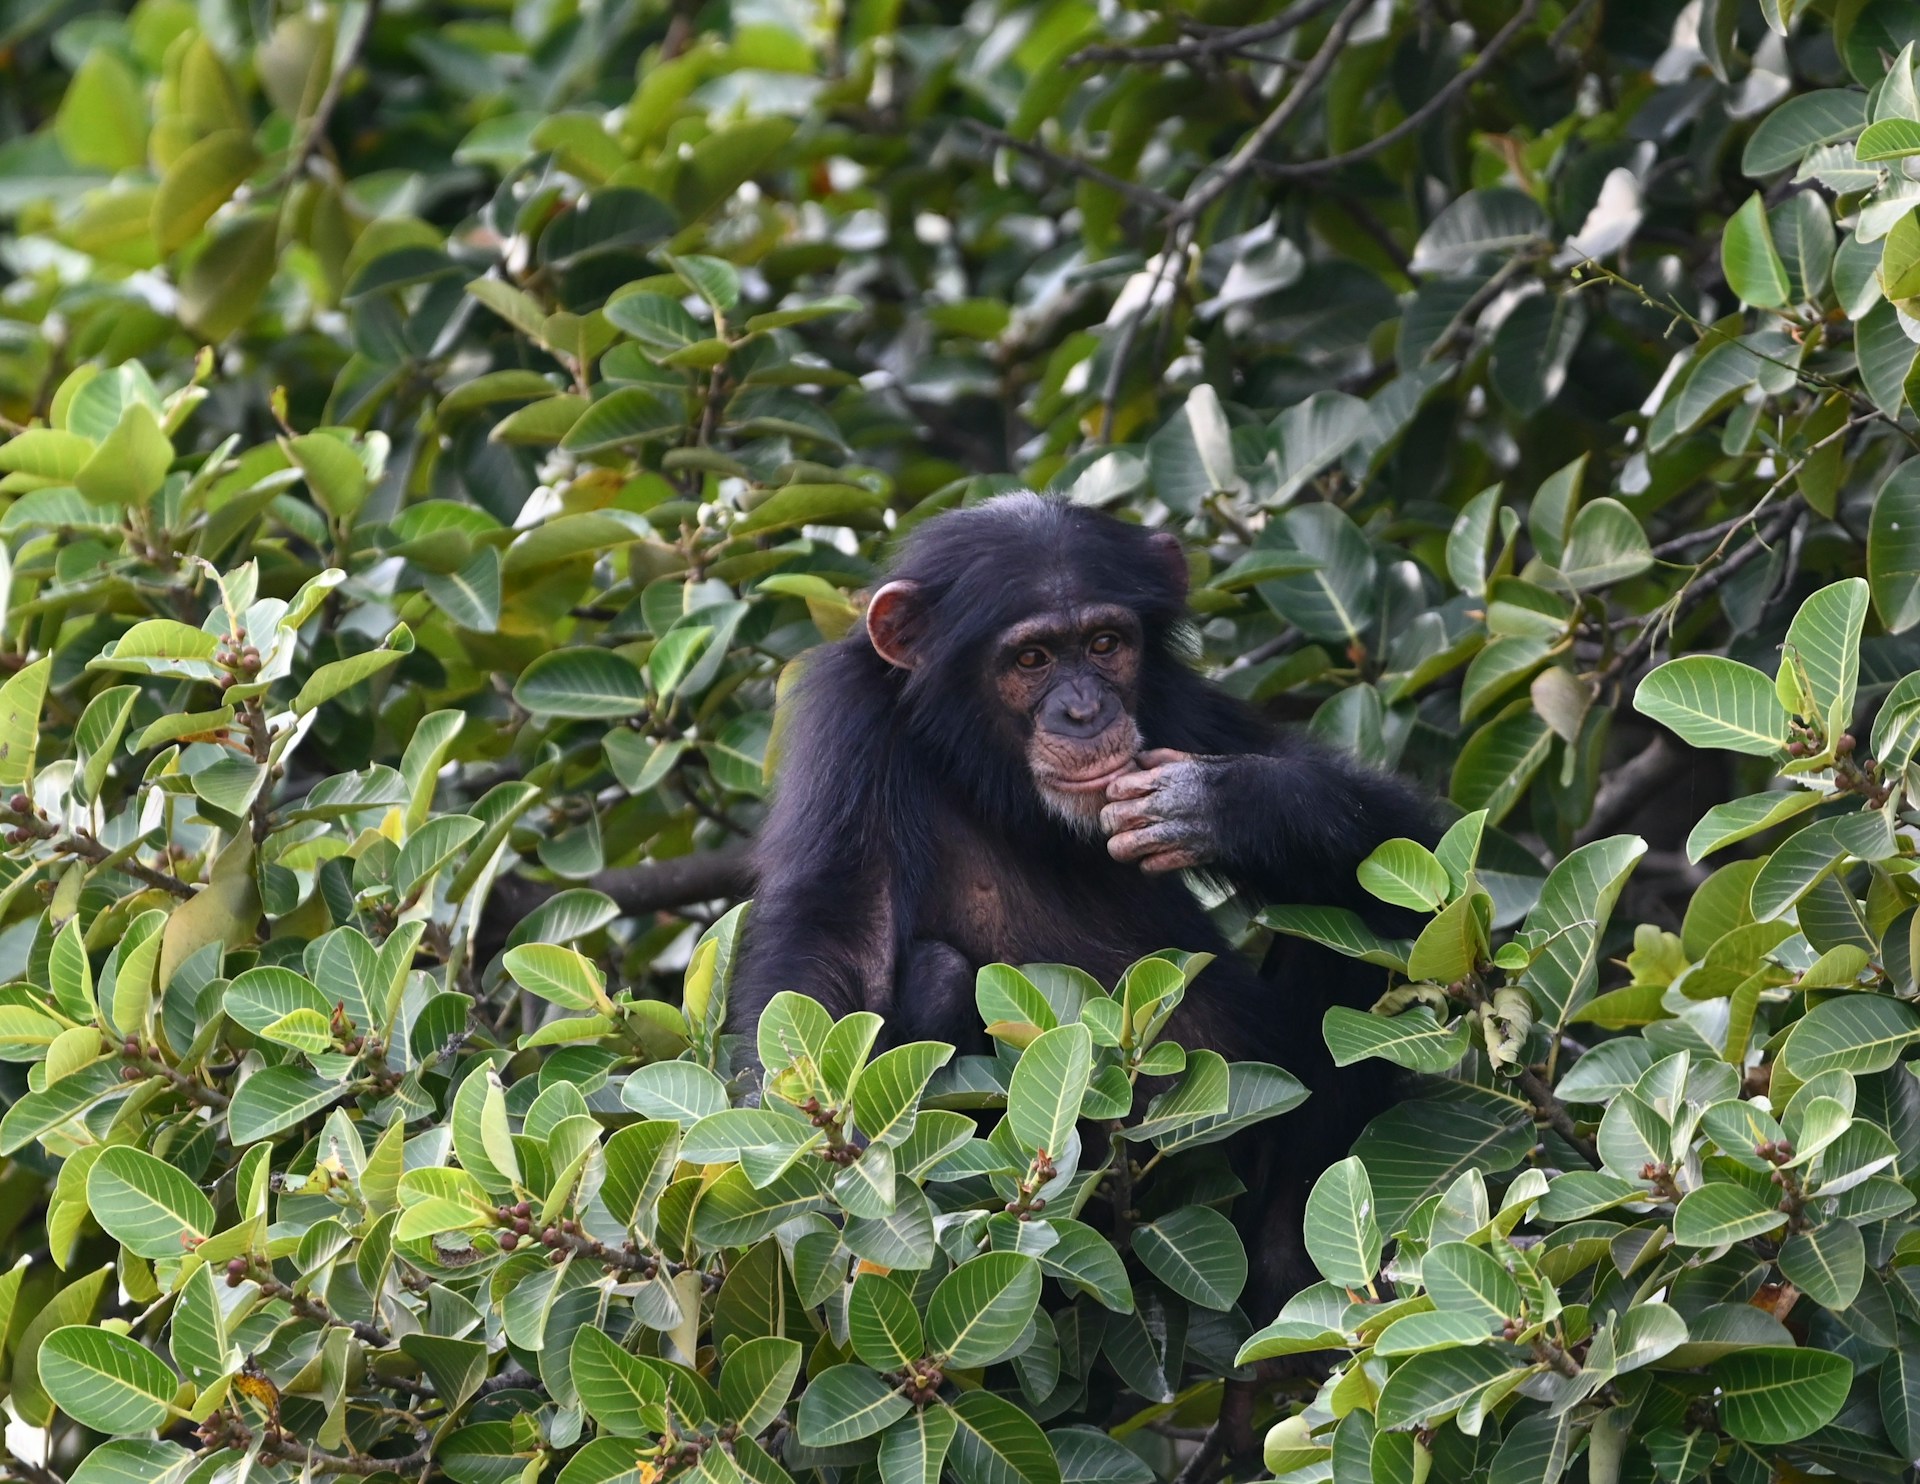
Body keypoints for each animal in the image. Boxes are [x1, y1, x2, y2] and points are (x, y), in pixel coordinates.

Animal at [725, 491, 1436, 1305]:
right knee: (937, 972)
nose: (1084, 710)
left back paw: (1290, 1259)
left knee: (1354, 932)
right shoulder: (852, 729)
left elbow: (1411, 852)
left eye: (1104, 644)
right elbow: (841, 935)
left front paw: (1221, 802)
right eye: (1031, 658)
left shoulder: (1177, 703)